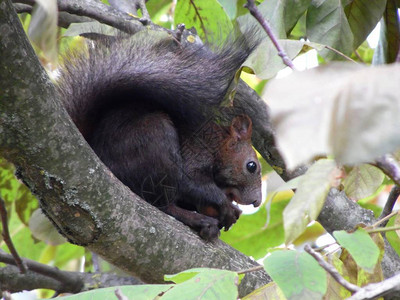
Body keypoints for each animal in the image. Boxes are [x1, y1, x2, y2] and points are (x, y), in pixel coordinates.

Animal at [57, 29, 262, 241]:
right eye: (251, 166)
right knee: (163, 204)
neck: (216, 145)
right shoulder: (195, 153)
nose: (256, 201)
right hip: (155, 142)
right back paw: (197, 220)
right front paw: (225, 206)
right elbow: (190, 184)